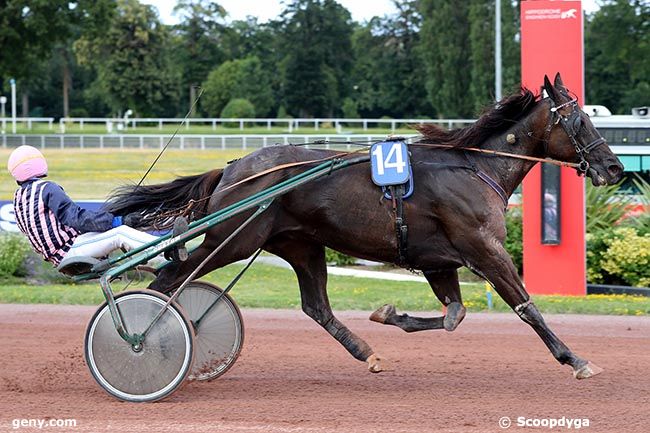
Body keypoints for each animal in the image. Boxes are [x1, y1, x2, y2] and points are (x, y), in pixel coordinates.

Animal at [107, 74, 624, 378]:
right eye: (580, 120)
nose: (614, 168)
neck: (475, 167)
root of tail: (233, 168)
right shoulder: (484, 249)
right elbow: (526, 307)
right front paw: (575, 359)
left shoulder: (439, 260)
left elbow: (454, 316)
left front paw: (389, 314)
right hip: (231, 238)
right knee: (169, 280)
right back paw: (146, 342)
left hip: (300, 245)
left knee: (316, 307)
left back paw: (367, 351)